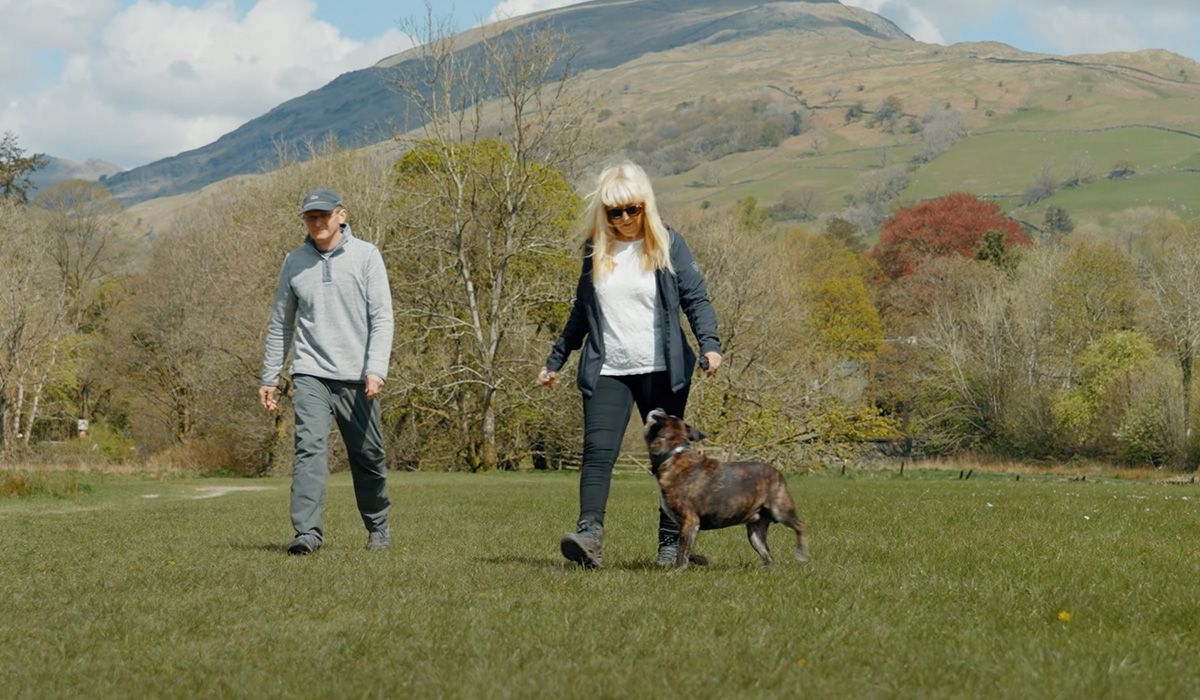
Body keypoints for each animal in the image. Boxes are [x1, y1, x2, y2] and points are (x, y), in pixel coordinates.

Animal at [648, 410, 806, 569]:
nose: (658, 410)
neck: (673, 453)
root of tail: (777, 472)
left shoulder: (690, 522)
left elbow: (682, 552)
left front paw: (677, 570)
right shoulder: (686, 527)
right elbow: (685, 550)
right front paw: (696, 560)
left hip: (780, 511)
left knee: (801, 525)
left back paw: (801, 553)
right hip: (755, 532)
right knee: (767, 553)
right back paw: (767, 568)